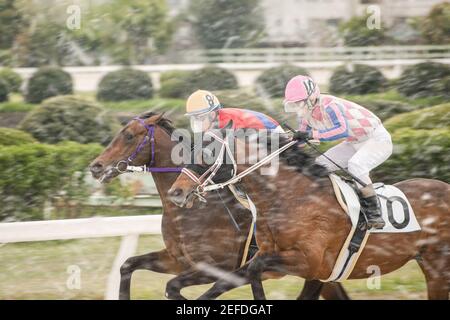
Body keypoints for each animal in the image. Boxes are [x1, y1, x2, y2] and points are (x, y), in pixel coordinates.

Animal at [89, 112, 348, 300]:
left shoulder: (217, 267)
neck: (195, 210)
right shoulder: (176, 260)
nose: (95, 167)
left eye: (129, 136)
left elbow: (173, 287)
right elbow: (127, 265)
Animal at [168, 127, 450, 300]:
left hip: (438, 265)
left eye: (208, 153)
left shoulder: (309, 261)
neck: (291, 198)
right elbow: (226, 280)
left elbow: (254, 271)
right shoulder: (278, 260)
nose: (176, 192)